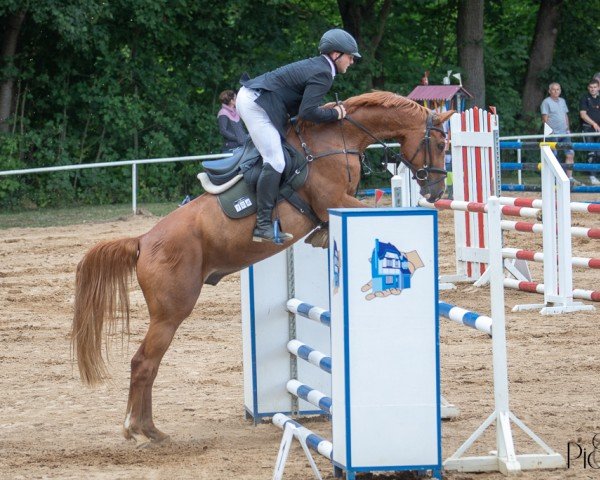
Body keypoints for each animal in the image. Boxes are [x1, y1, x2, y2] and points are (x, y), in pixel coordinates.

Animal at [71, 92, 450, 444]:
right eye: (440, 143)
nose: (435, 191)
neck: (334, 139)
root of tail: (143, 241)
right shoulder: (337, 201)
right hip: (171, 312)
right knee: (144, 363)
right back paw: (140, 429)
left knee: (149, 364)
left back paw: (150, 429)